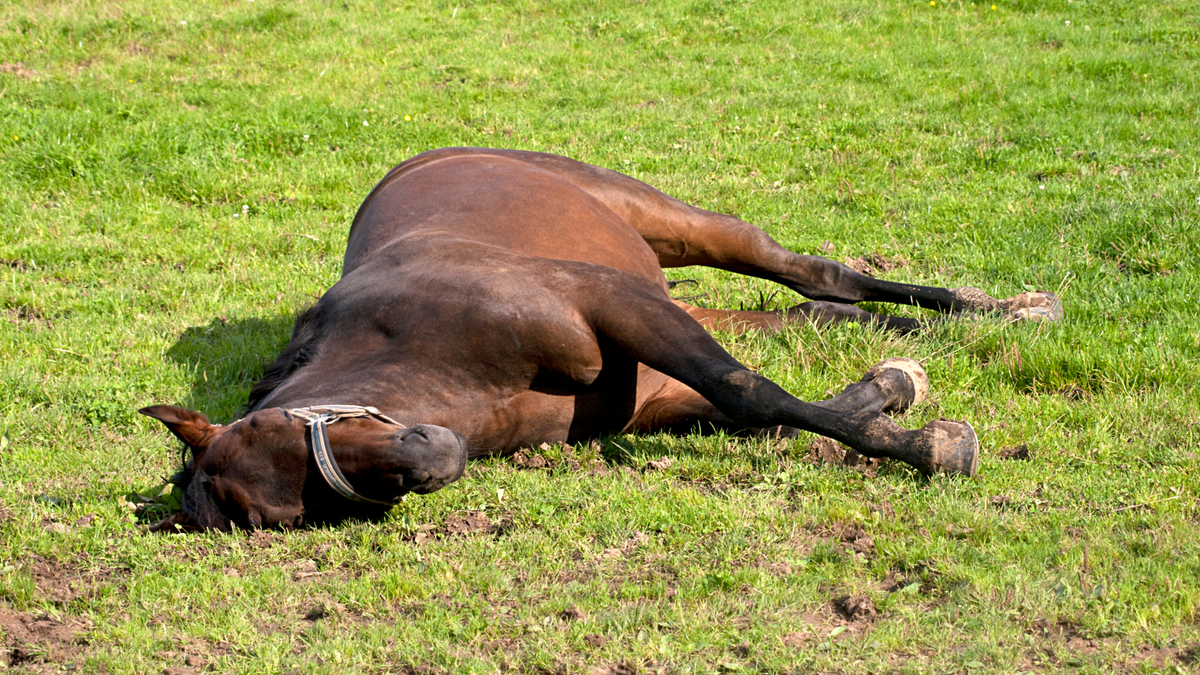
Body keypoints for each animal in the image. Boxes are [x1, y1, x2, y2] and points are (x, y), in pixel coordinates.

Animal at [140, 147, 1061, 531]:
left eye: (279, 427)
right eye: (297, 513)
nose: (433, 458)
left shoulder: (610, 302)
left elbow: (749, 389)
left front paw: (930, 444)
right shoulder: (643, 387)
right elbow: (765, 405)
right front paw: (897, 394)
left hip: (675, 227)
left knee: (812, 271)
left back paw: (1012, 309)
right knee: (816, 309)